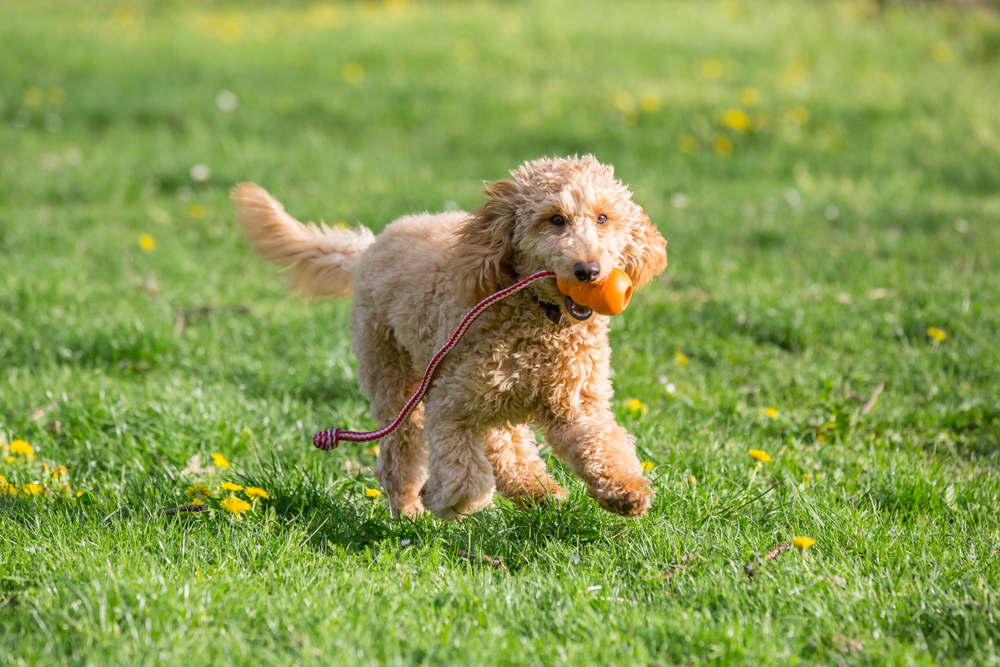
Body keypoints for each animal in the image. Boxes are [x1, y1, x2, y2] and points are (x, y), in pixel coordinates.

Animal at [233, 157, 668, 520]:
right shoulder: (450, 402)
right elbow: (466, 474)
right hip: (395, 378)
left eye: (603, 217)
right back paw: (410, 509)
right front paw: (448, 501)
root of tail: (371, 245)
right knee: (402, 452)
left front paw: (625, 492)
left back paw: (536, 491)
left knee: (505, 443)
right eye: (555, 219)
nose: (587, 270)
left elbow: (601, 443)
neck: (538, 318)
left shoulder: (574, 402)